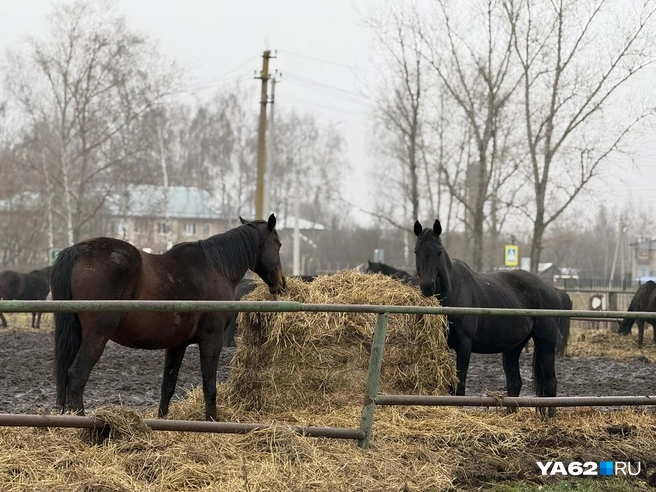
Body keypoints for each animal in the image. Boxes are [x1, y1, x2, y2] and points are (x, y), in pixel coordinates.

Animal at [52, 214, 285, 421]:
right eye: (278, 244)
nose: (281, 284)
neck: (216, 270)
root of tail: (77, 250)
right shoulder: (212, 340)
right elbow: (209, 386)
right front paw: (212, 420)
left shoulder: (177, 344)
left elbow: (168, 385)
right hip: (97, 335)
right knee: (76, 376)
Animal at [413, 219, 561, 416]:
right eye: (416, 251)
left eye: (438, 251)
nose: (427, 286)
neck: (454, 291)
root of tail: (550, 289)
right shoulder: (444, 345)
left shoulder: (464, 345)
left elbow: (460, 386)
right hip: (513, 347)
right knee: (515, 382)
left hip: (546, 342)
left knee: (550, 382)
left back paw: (550, 418)